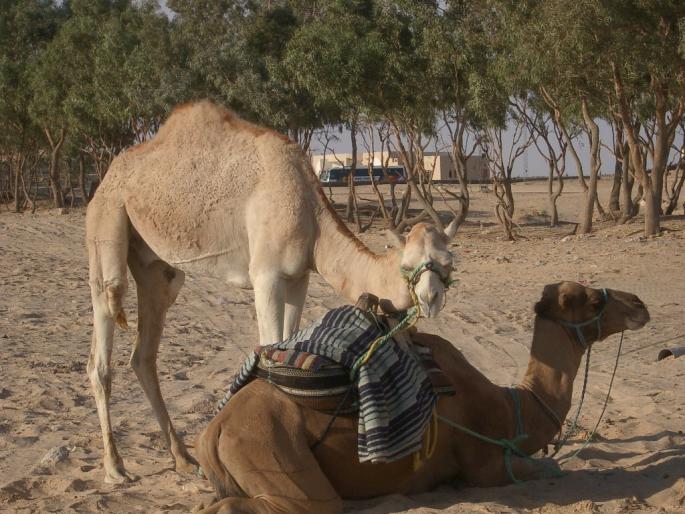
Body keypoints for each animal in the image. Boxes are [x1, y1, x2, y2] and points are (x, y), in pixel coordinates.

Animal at [87, 100, 460, 480]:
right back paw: (115, 468)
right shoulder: (266, 275)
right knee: (104, 328)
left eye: (449, 263)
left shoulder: (298, 278)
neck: (311, 214)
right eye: (407, 266)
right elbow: (268, 346)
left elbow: (286, 341)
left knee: (144, 353)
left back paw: (183, 458)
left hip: (157, 268)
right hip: (107, 219)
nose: (431, 298)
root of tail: (106, 178)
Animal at [195, 280, 648, 512]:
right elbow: (548, 469)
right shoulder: (484, 467)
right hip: (273, 449)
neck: (513, 408)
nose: (640, 303)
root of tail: (214, 432)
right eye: (593, 298)